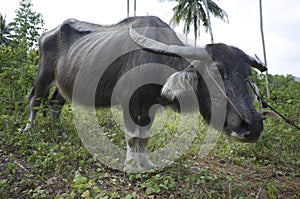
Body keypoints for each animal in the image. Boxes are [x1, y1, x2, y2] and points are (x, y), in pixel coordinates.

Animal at [24, 15, 268, 171]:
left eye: (247, 75)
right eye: (216, 72)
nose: (253, 126)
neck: (155, 60)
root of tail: (46, 34)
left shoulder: (150, 107)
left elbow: (145, 137)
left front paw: (147, 164)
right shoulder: (129, 103)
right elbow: (133, 137)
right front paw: (132, 166)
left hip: (63, 85)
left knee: (55, 105)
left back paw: (60, 133)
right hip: (43, 76)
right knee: (35, 100)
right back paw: (28, 130)